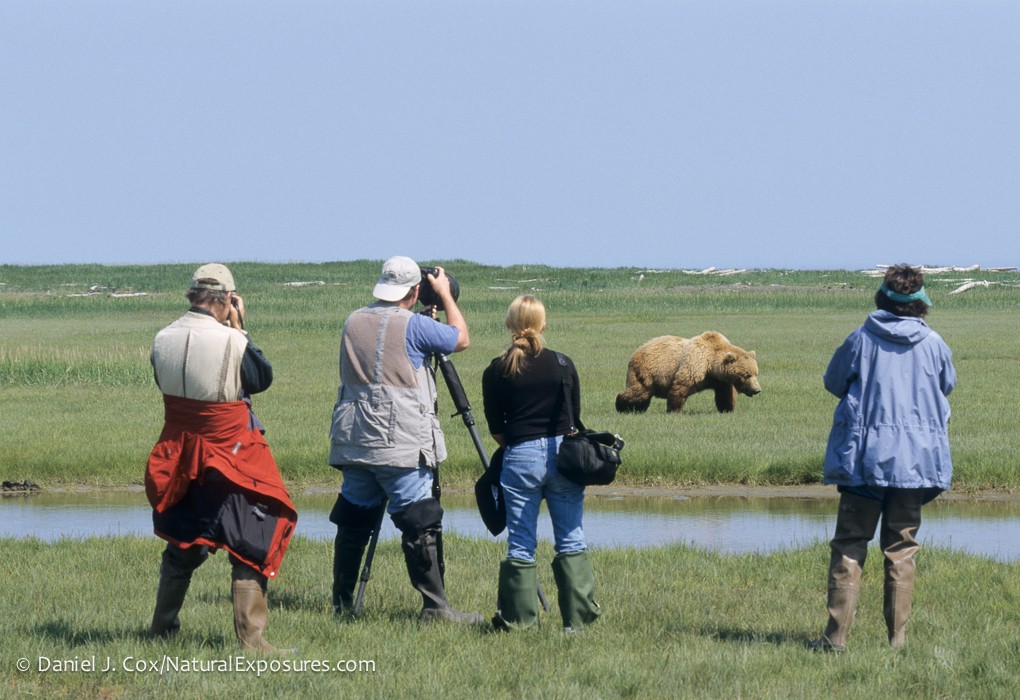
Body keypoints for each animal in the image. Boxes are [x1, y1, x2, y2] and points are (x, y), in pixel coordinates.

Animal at [615, 331, 761, 414]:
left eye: (756, 373)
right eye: (747, 374)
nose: (757, 389)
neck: (712, 365)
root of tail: (638, 349)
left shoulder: (720, 380)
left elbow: (725, 395)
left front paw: (727, 409)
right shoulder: (695, 365)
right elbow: (680, 386)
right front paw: (673, 410)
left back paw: (638, 409)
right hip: (646, 372)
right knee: (638, 392)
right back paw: (622, 406)